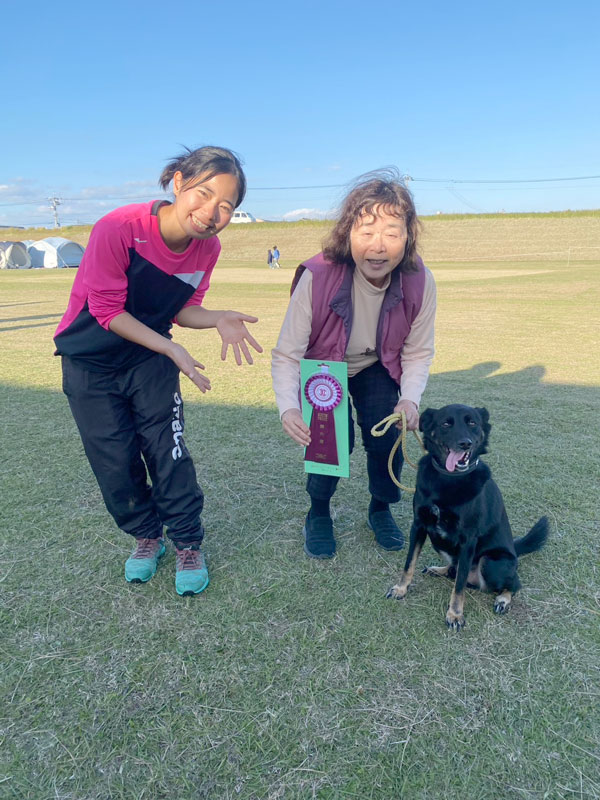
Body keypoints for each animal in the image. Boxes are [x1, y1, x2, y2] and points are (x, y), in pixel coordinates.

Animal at [387, 404, 548, 630]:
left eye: (472, 422)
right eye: (446, 423)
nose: (465, 443)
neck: (449, 479)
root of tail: (515, 552)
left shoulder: (468, 539)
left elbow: (459, 585)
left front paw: (455, 614)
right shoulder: (419, 525)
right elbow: (409, 563)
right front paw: (401, 588)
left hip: (491, 562)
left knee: (513, 583)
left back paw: (503, 599)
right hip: (440, 543)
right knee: (454, 570)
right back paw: (439, 569)